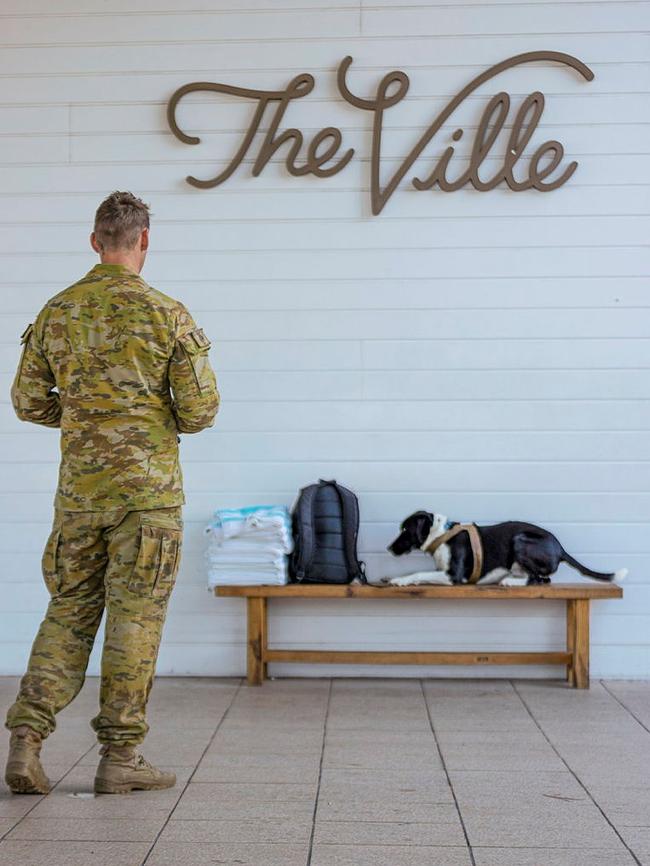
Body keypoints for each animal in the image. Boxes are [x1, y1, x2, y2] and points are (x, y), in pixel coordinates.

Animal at [384, 506, 624, 588]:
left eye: (405, 529)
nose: (389, 549)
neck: (441, 534)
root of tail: (561, 548)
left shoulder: (454, 576)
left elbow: (419, 572)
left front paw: (400, 580)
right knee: (542, 579)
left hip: (520, 540)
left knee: (537, 579)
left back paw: (508, 581)